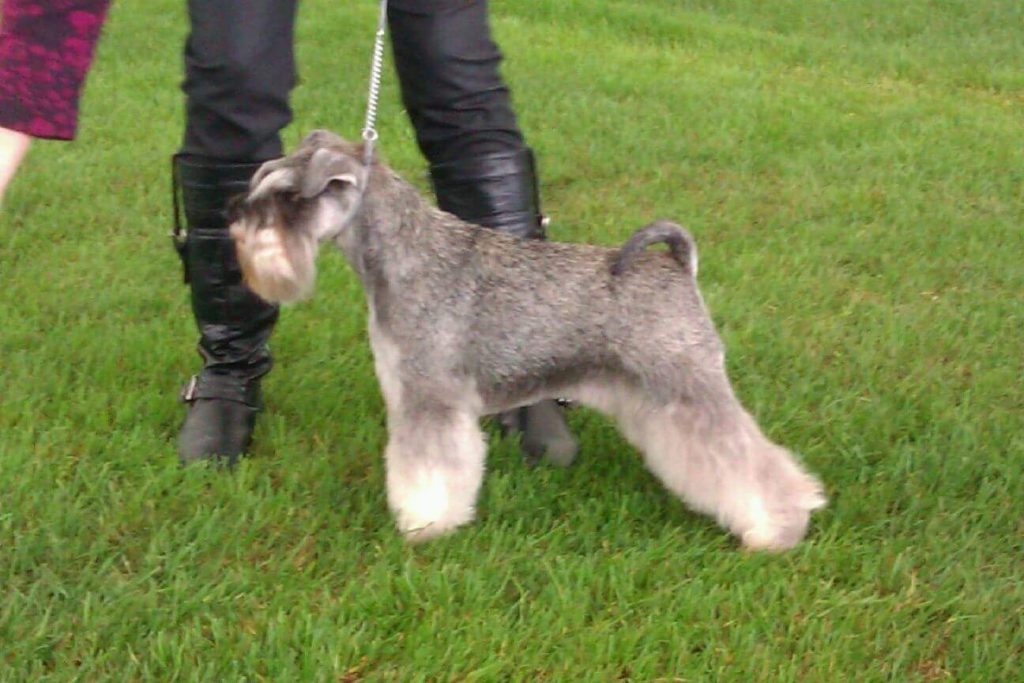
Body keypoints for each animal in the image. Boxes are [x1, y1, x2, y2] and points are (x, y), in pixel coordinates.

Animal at [230, 131, 823, 552]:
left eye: (287, 195)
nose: (234, 219)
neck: (404, 254)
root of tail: (677, 266)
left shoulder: (430, 399)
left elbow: (428, 468)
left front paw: (423, 525)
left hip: (687, 390)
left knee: (748, 459)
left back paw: (779, 527)